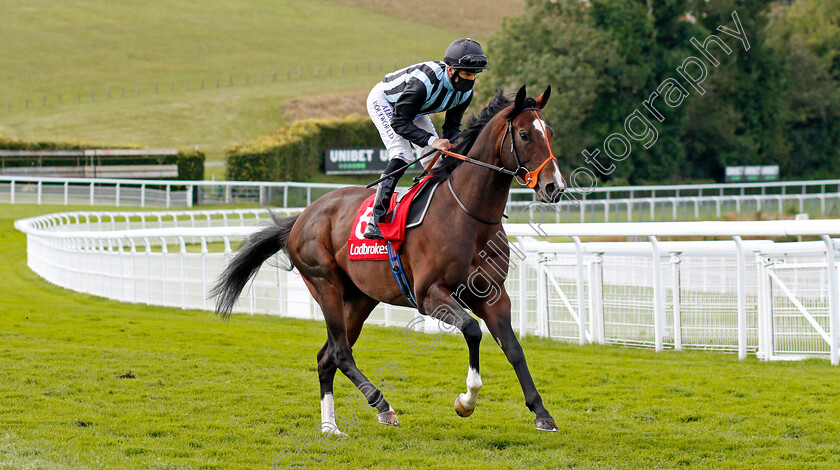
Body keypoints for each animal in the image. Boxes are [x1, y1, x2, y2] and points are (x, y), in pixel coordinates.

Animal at [212, 84, 564, 434]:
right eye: (524, 134)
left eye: (549, 132)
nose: (554, 187)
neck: (468, 216)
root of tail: (302, 216)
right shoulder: (429, 295)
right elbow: (472, 329)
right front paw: (466, 401)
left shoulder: (494, 294)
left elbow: (514, 348)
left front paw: (541, 412)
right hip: (325, 284)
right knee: (340, 352)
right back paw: (382, 405)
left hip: (360, 298)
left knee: (327, 356)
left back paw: (330, 427)